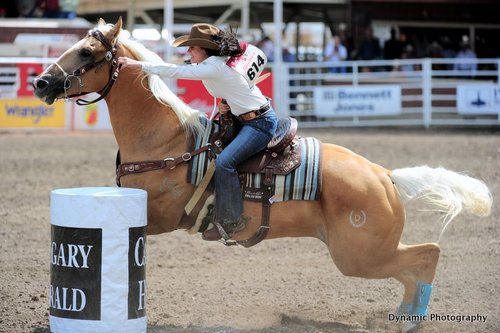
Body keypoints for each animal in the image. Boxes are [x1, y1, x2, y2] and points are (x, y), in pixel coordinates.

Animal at [34, 19, 492, 330]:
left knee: (427, 254)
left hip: (361, 255)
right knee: (417, 260)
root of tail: (384, 175)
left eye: (87, 53)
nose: (40, 83)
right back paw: (404, 315)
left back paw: (411, 318)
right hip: (364, 252)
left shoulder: (160, 217)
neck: (168, 142)